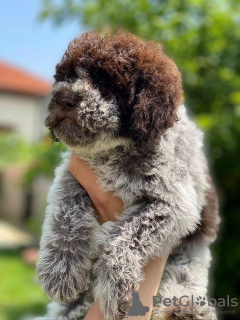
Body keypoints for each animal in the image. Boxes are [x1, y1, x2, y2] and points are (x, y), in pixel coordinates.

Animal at [37, 31, 219, 320]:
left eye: (105, 82)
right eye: (66, 76)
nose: (64, 98)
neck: (112, 152)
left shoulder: (175, 202)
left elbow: (127, 236)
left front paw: (117, 286)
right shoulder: (71, 174)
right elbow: (66, 214)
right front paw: (60, 270)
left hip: (192, 255)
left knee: (183, 276)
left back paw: (185, 309)